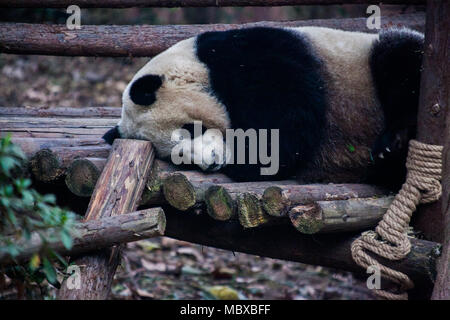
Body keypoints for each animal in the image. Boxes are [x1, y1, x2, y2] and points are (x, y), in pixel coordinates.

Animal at [103, 26, 424, 189]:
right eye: (177, 157)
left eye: (192, 129)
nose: (211, 162)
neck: (198, 64)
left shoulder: (251, 56)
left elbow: (289, 116)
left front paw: (249, 163)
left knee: (399, 58)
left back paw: (392, 142)